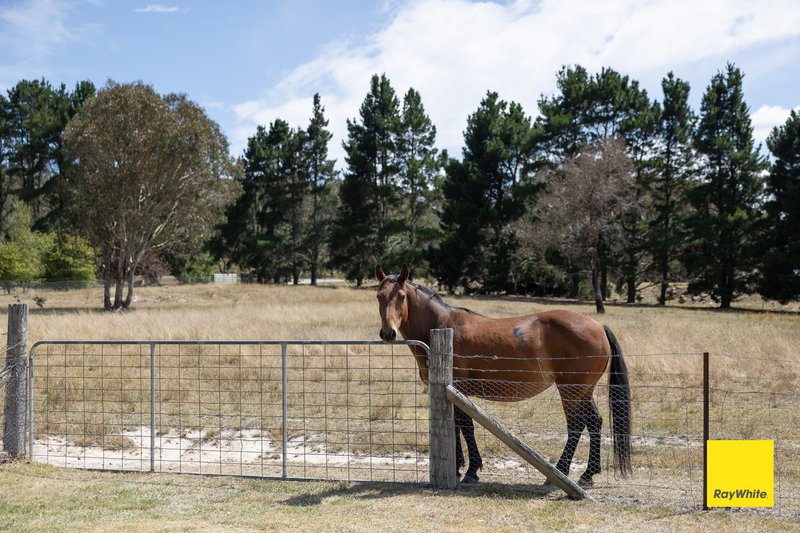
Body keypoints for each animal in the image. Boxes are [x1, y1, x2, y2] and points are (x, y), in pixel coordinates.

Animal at [376, 264, 632, 484]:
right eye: (379, 296)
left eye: (402, 296)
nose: (388, 333)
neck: (441, 325)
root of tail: (598, 326)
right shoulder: (450, 392)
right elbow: (456, 425)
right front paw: (459, 467)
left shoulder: (456, 388)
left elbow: (465, 426)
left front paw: (470, 470)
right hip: (584, 391)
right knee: (595, 422)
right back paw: (588, 474)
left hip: (570, 390)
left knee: (576, 425)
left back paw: (559, 472)